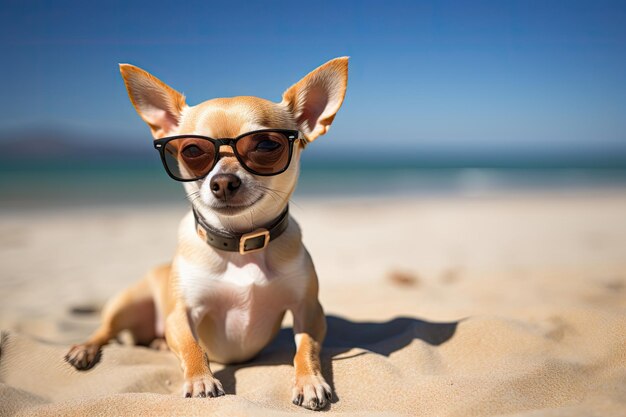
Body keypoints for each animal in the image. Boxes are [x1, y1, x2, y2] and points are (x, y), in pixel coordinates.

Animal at [66, 57, 348, 408]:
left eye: (267, 144)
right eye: (192, 150)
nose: (223, 181)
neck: (240, 245)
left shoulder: (308, 310)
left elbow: (306, 347)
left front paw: (309, 381)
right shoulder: (181, 314)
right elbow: (192, 346)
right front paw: (201, 379)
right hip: (128, 303)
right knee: (104, 329)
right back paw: (85, 349)